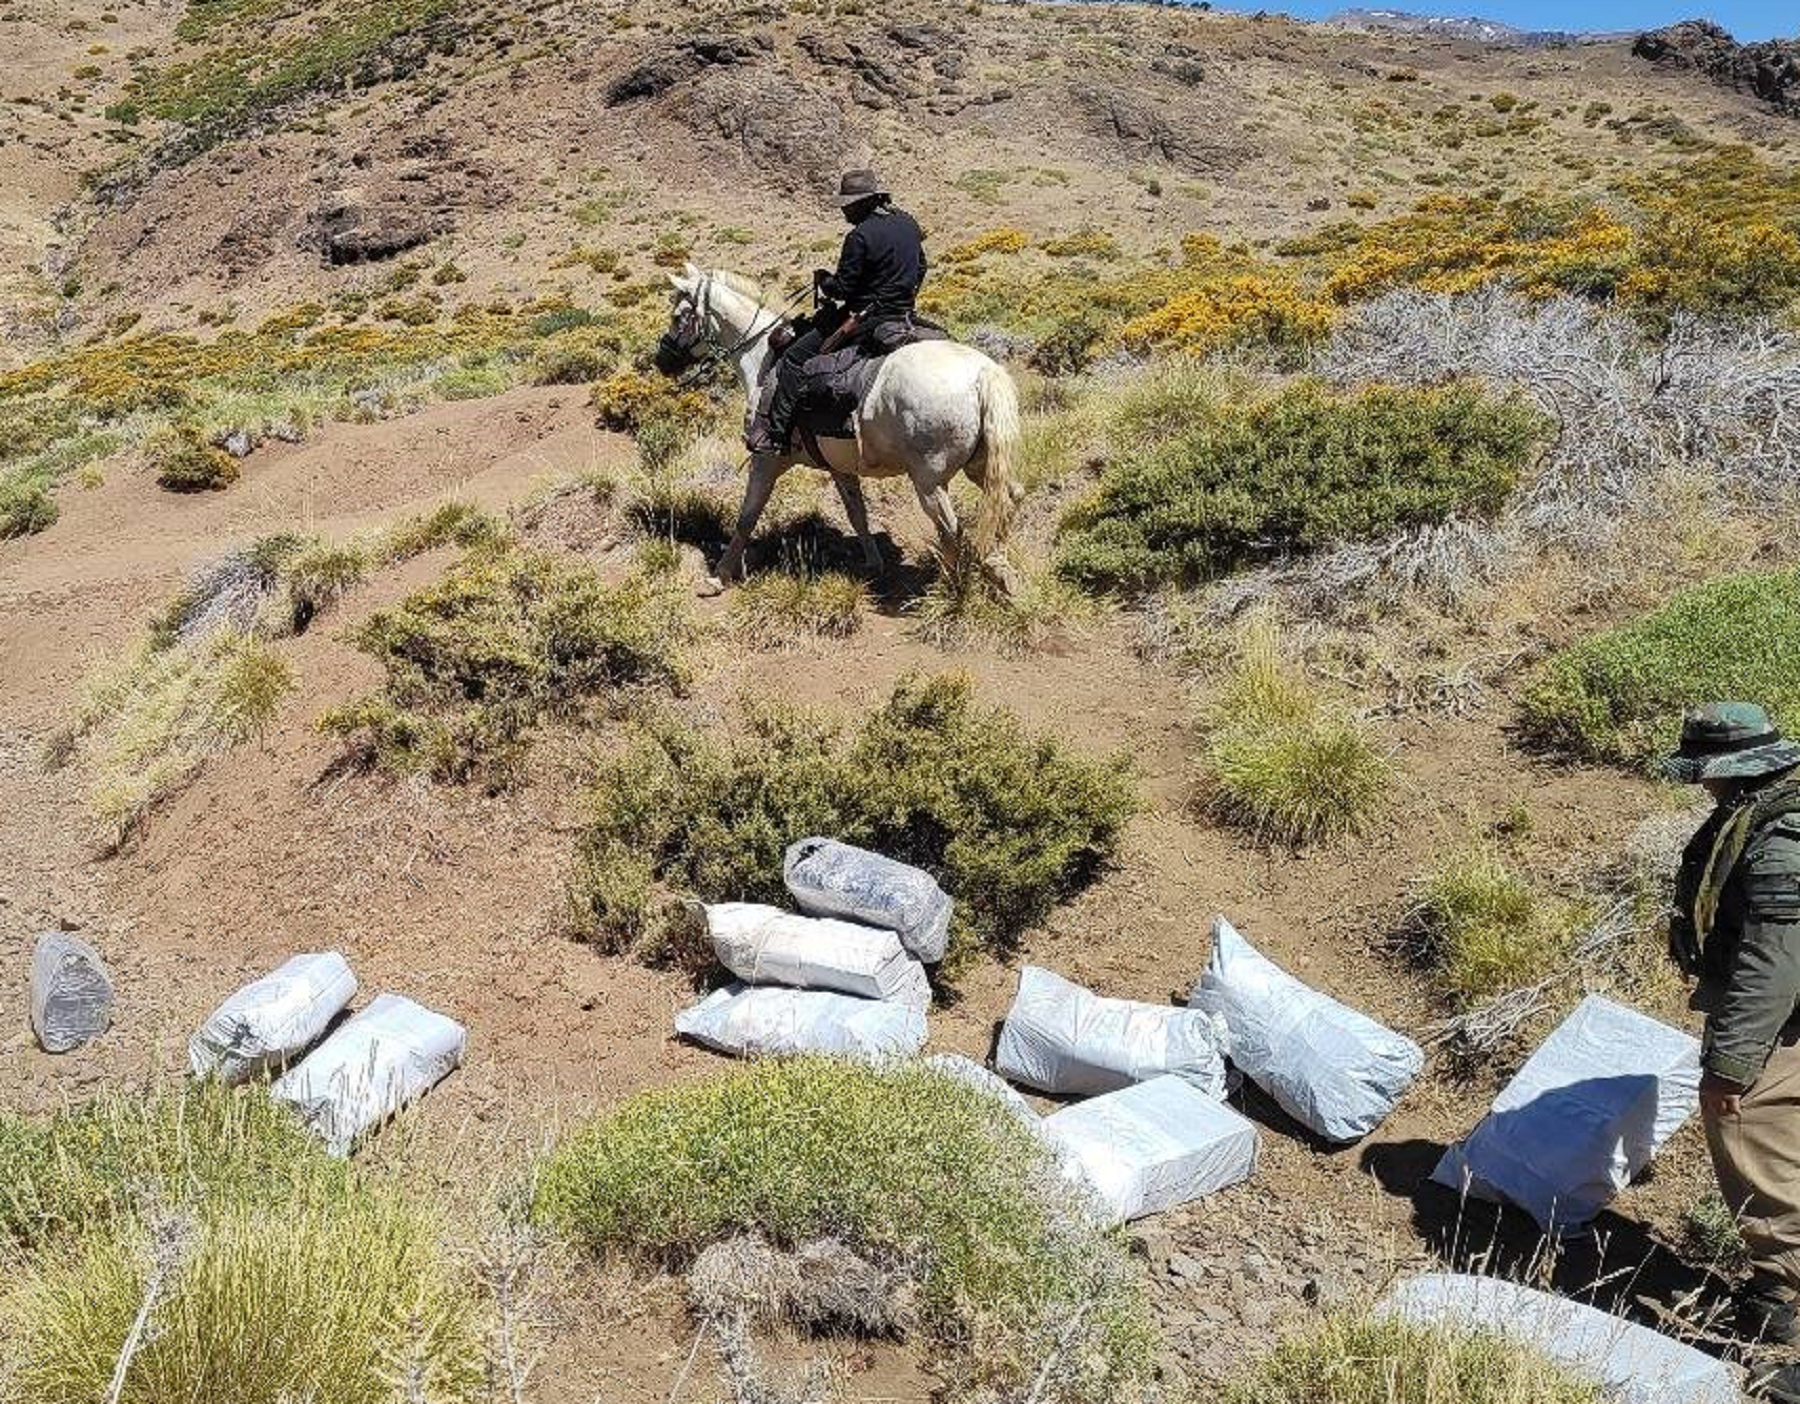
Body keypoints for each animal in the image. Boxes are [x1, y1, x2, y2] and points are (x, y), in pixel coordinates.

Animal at [662, 264, 1029, 597]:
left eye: (679, 316)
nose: (661, 359)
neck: (763, 360)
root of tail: (982, 373)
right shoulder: (838, 466)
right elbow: (858, 514)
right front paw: (873, 564)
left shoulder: (766, 459)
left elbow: (746, 517)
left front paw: (719, 577)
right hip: (980, 465)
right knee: (1010, 497)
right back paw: (999, 568)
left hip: (929, 481)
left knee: (951, 529)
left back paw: (949, 585)